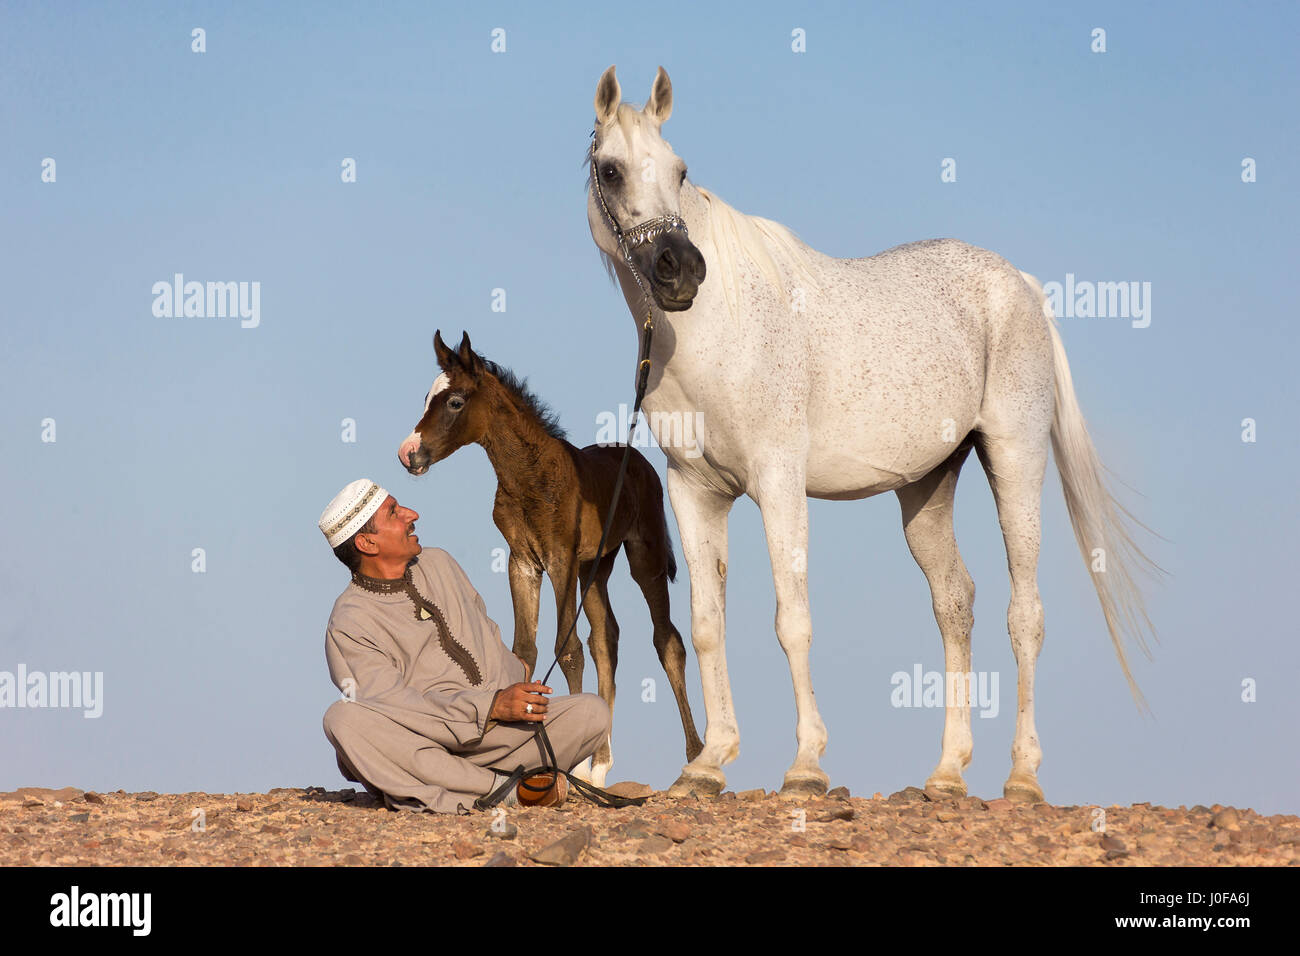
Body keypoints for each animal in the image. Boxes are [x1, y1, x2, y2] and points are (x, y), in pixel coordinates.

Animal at [397, 330, 704, 787]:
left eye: (454, 401)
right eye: (425, 398)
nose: (409, 453)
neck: (529, 477)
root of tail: (636, 459)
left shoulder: (560, 559)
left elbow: (567, 647)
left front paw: (569, 765)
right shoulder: (523, 561)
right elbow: (526, 648)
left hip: (642, 556)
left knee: (667, 640)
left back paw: (696, 755)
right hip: (595, 567)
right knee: (606, 640)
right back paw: (600, 768)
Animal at [583, 65, 1160, 802]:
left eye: (681, 170)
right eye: (611, 169)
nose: (680, 270)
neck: (716, 330)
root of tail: (1021, 286)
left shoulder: (779, 482)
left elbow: (791, 618)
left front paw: (806, 765)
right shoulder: (696, 492)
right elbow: (708, 625)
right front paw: (708, 764)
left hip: (1015, 460)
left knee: (1024, 613)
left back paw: (1023, 777)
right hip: (927, 487)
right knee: (955, 603)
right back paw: (946, 773)